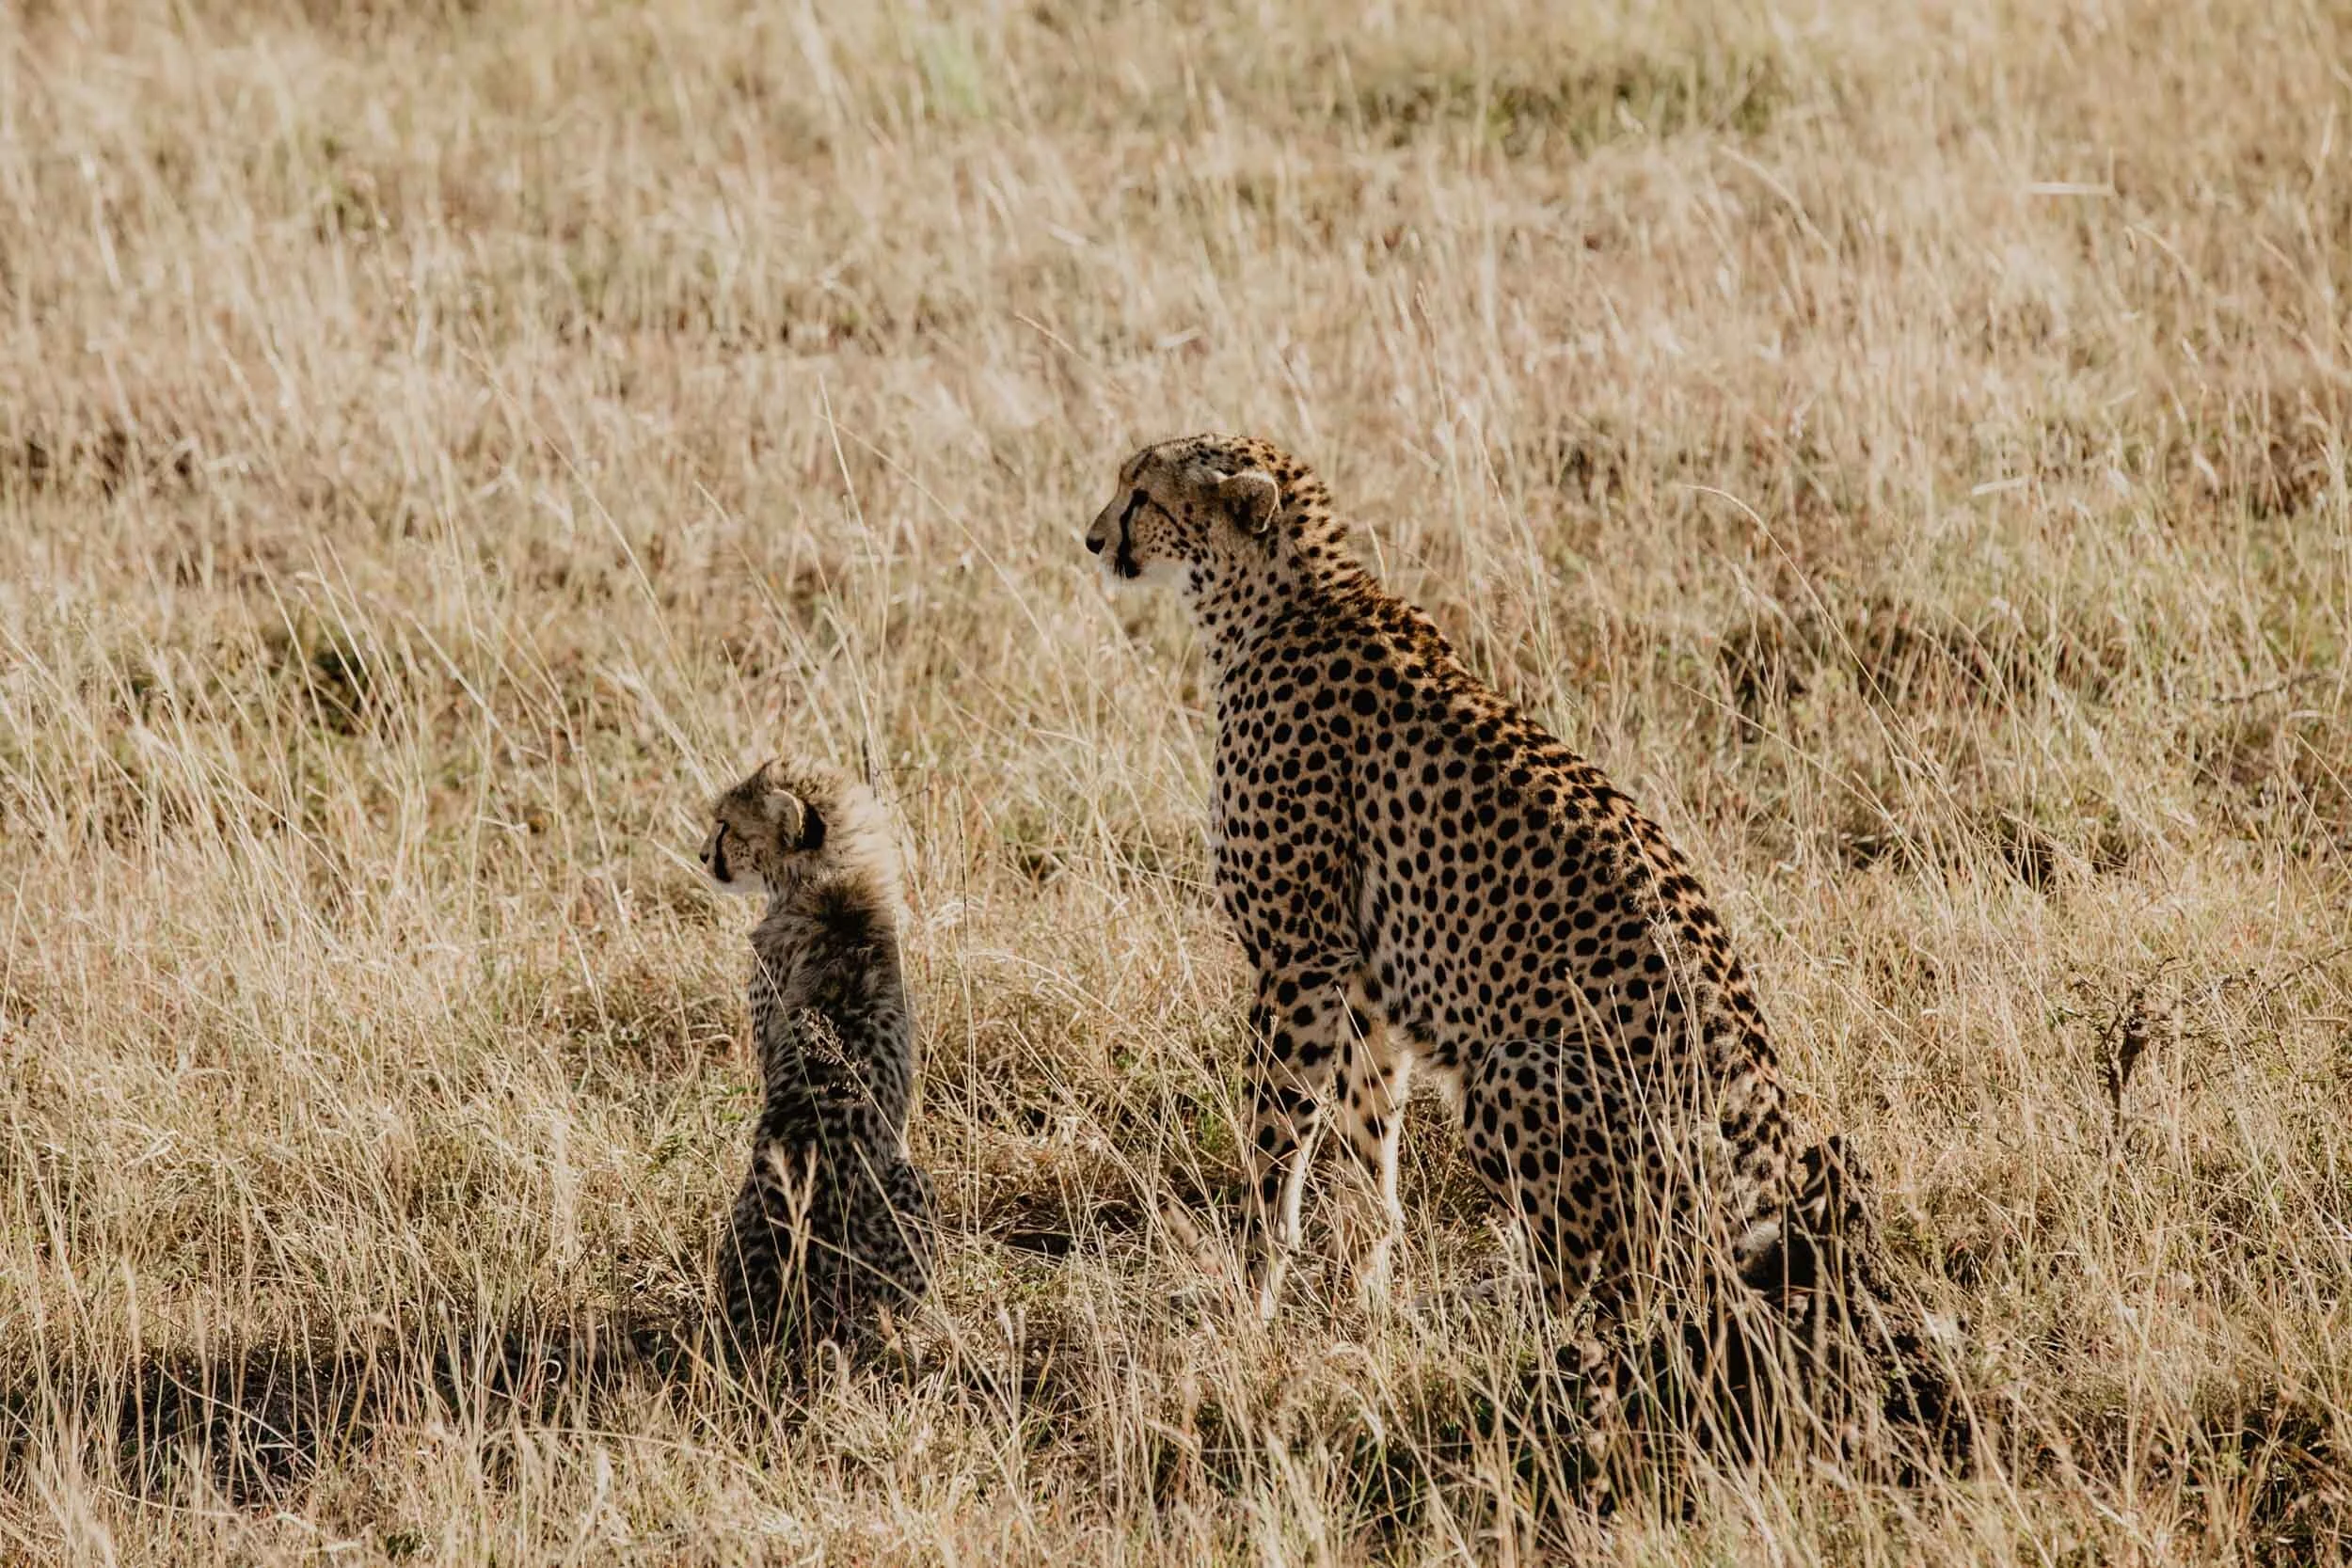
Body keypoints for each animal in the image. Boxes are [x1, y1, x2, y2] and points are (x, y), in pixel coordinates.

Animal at [1083, 433, 1959, 1460]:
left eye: (1142, 494)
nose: (1093, 536)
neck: (1274, 598)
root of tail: (1772, 1159)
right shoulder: (1364, 982)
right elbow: (1367, 1143)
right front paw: (1363, 1296)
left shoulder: (1298, 958)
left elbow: (1275, 1144)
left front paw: (1251, 1295)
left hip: (1520, 1070)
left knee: (1617, 1292)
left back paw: (1532, 1363)